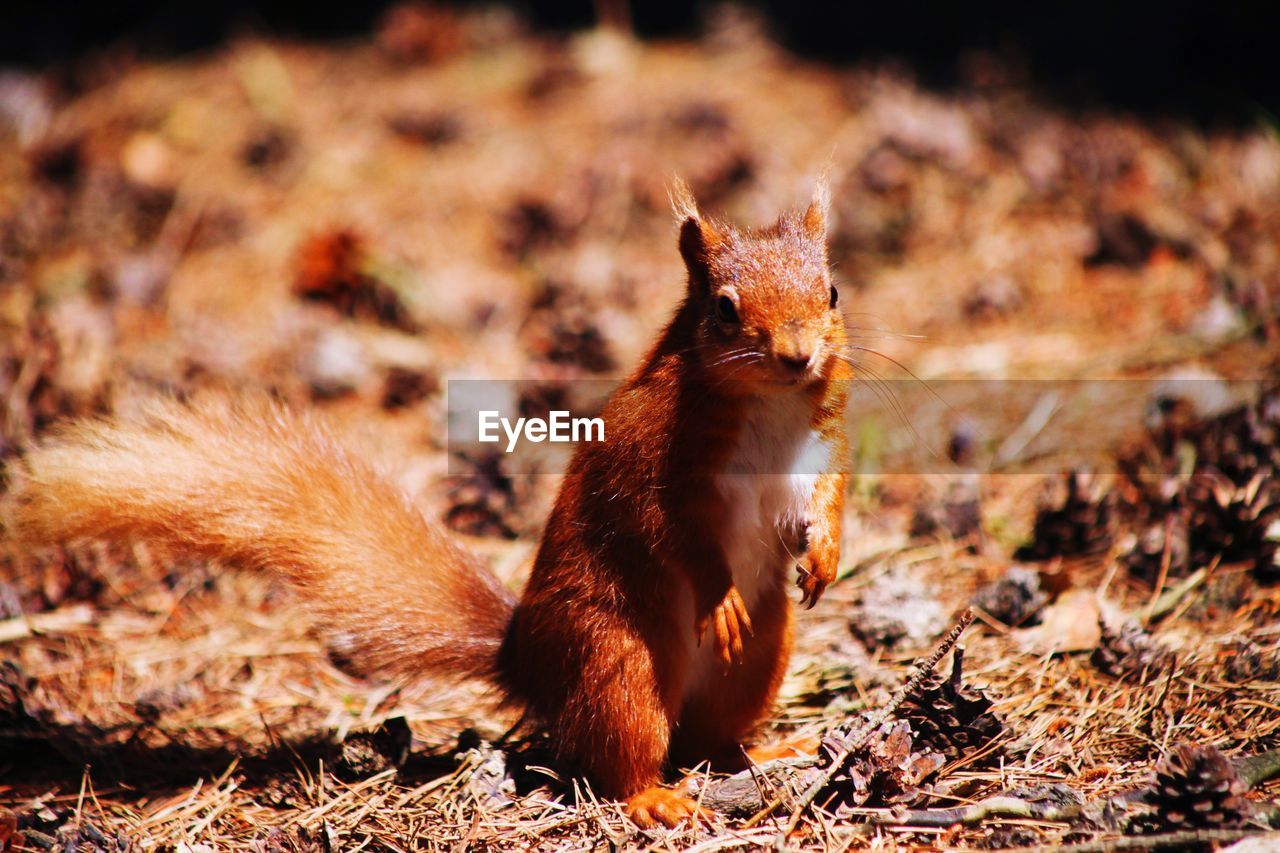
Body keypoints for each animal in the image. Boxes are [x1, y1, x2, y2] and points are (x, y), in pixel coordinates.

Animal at [10, 178, 855, 824]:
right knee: (624, 752)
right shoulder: (655, 461)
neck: (768, 407)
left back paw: (763, 748)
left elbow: (829, 497)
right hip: (618, 660)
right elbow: (674, 534)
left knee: (709, 737)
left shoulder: (816, 449)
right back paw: (653, 797)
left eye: (833, 291)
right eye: (724, 308)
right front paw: (718, 594)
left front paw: (825, 556)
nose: (797, 354)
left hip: (759, 657)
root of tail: (527, 660)